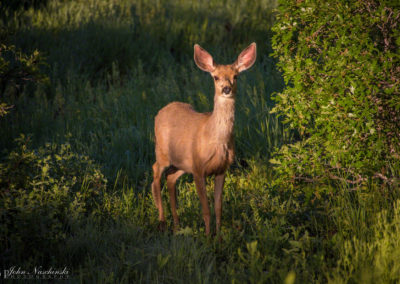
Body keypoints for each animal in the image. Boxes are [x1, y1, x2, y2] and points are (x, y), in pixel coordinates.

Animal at [150, 42, 256, 235]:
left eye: (236, 76)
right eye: (215, 77)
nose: (226, 89)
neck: (217, 140)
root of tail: (162, 110)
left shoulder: (221, 169)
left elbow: (218, 208)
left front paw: (219, 237)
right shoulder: (199, 168)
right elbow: (206, 210)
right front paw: (207, 237)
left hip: (182, 163)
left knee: (170, 177)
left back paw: (177, 225)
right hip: (161, 151)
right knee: (156, 174)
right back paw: (162, 221)